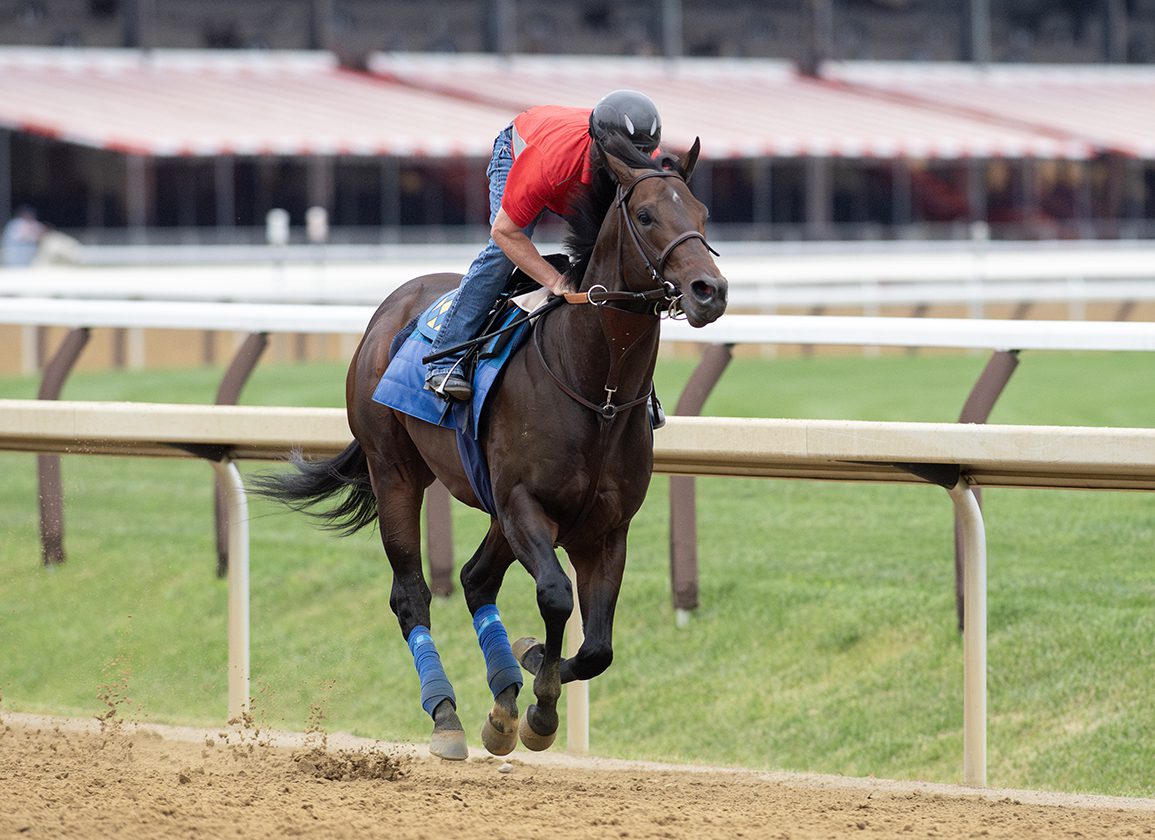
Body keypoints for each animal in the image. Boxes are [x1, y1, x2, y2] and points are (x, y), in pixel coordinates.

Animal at [256, 138, 725, 762]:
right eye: (646, 215)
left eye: (701, 213)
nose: (710, 291)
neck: (595, 389)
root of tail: (391, 308)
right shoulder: (524, 503)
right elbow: (556, 596)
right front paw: (540, 704)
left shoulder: (605, 528)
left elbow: (597, 648)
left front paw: (529, 678)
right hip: (396, 471)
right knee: (412, 595)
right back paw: (447, 715)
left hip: (494, 508)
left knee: (477, 578)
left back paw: (502, 699)